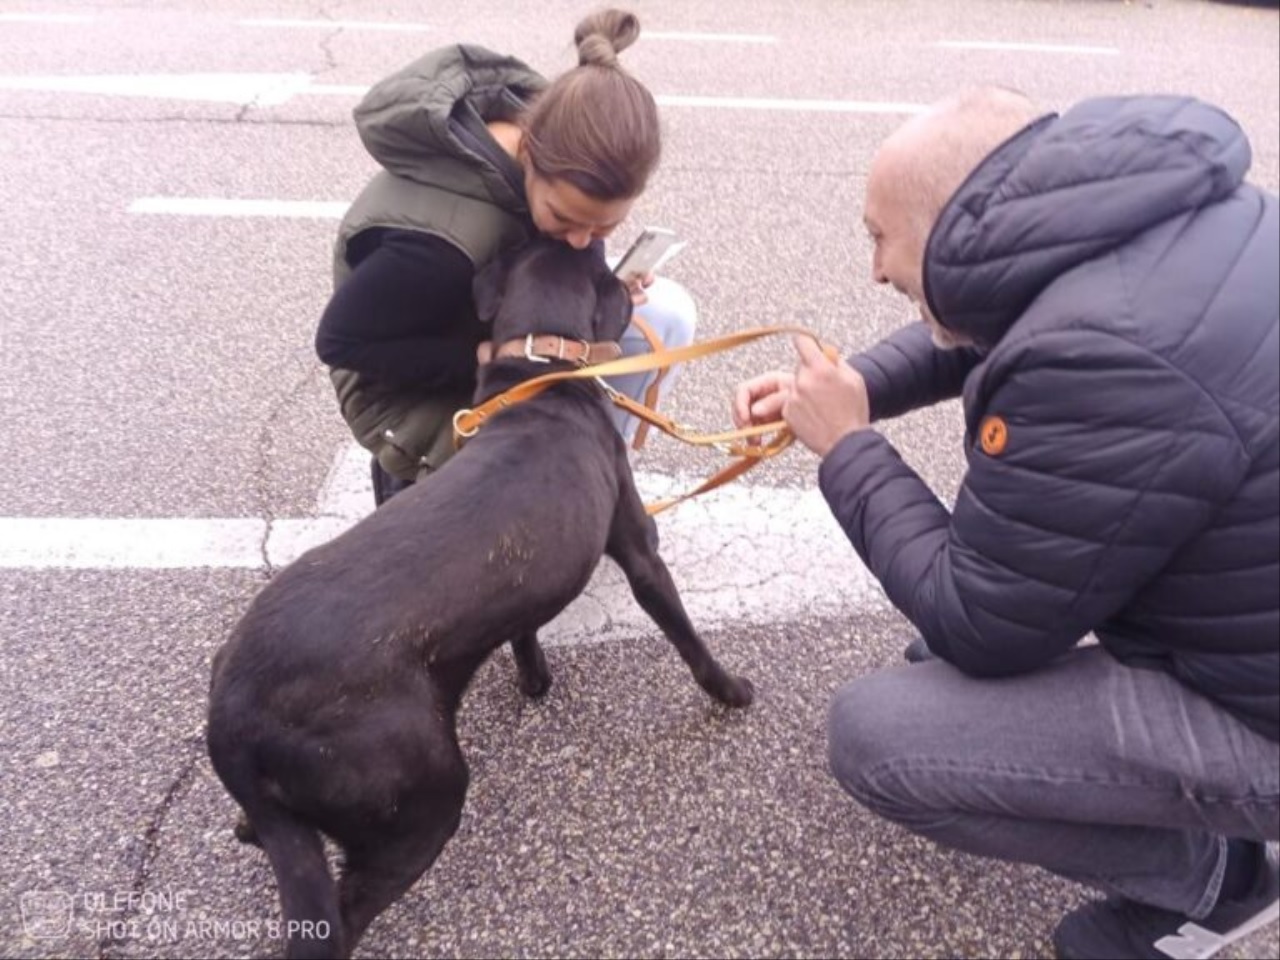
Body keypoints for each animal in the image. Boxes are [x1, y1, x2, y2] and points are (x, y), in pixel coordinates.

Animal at [204, 240, 752, 960]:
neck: (540, 371)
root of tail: (235, 711)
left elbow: (524, 627)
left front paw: (535, 679)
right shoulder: (638, 548)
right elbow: (685, 634)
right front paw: (730, 689)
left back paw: (245, 827)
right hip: (422, 806)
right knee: (342, 918)